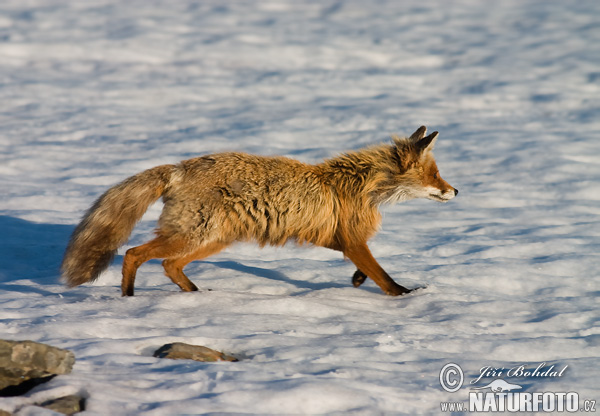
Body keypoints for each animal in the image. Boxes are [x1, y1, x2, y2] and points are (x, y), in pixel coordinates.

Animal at [61, 126, 458, 296]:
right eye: (434, 175)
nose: (455, 190)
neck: (360, 186)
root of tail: (180, 167)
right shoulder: (350, 239)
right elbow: (383, 276)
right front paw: (404, 295)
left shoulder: (339, 238)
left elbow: (365, 267)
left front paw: (358, 281)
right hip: (193, 235)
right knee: (133, 253)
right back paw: (128, 298)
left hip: (211, 240)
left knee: (169, 265)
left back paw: (194, 293)